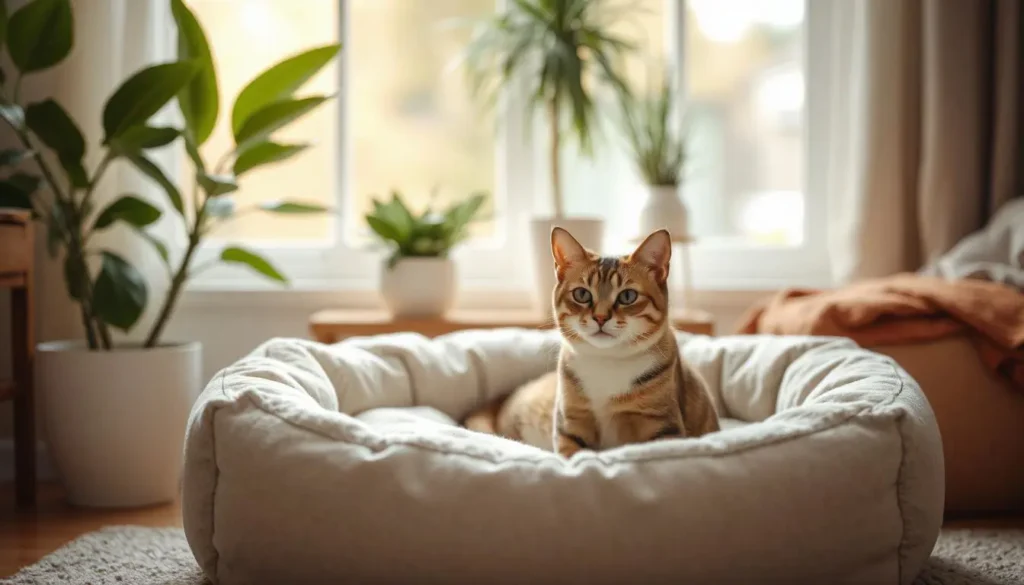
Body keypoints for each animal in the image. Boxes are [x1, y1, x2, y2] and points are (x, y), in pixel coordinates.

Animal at [464, 226, 720, 454]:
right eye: (582, 294)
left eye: (628, 296)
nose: (600, 317)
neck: (606, 361)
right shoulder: (570, 422)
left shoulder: (664, 427)